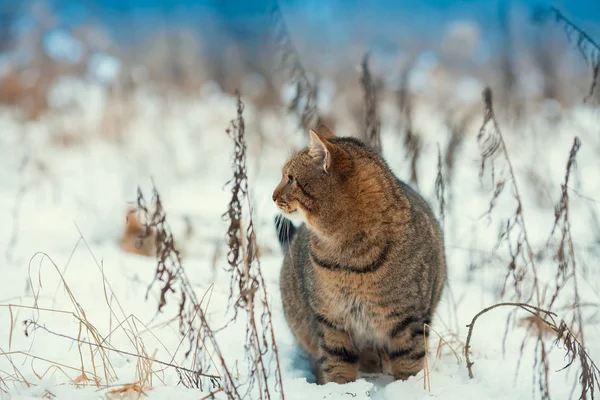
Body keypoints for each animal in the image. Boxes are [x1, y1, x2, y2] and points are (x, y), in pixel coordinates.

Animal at [272, 125, 446, 384]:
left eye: (291, 178)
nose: (273, 196)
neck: (349, 258)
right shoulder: (331, 320)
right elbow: (337, 363)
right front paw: (339, 389)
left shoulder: (409, 319)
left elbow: (409, 362)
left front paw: (408, 387)